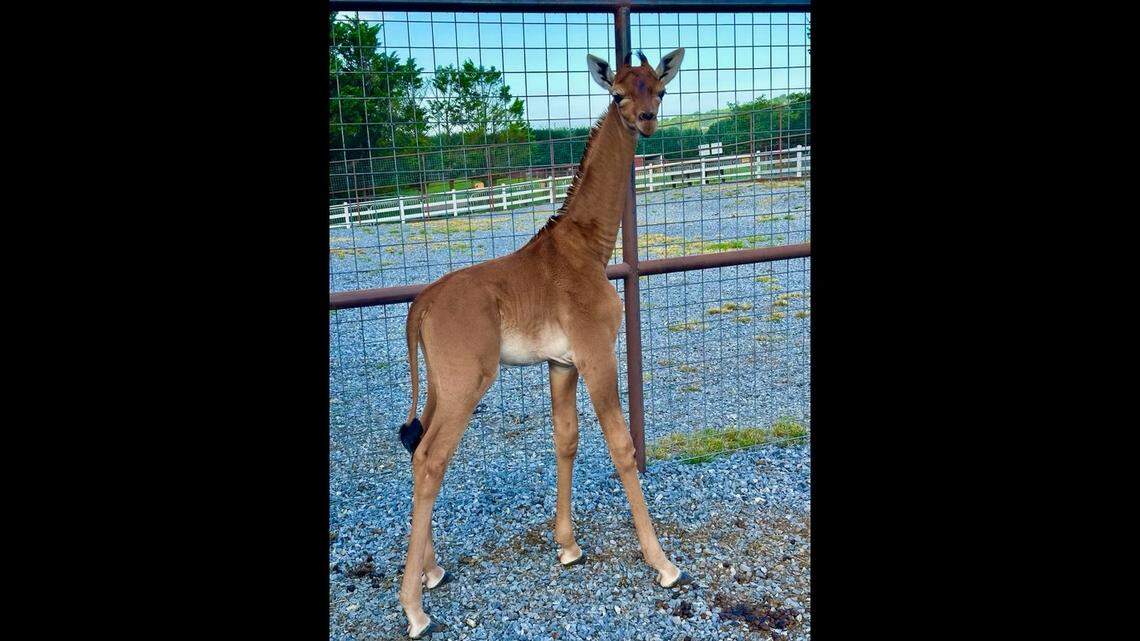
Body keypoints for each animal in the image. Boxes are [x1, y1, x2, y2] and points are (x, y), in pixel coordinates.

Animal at [395, 48, 687, 639]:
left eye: (661, 90)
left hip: (439, 384)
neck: (590, 248)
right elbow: (621, 446)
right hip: (466, 383)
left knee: (416, 451)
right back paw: (414, 609)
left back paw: (433, 571)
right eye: (617, 94)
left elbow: (566, 440)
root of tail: (422, 304)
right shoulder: (597, 354)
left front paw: (568, 546)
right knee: (432, 459)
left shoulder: (561, 363)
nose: (646, 121)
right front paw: (663, 564)